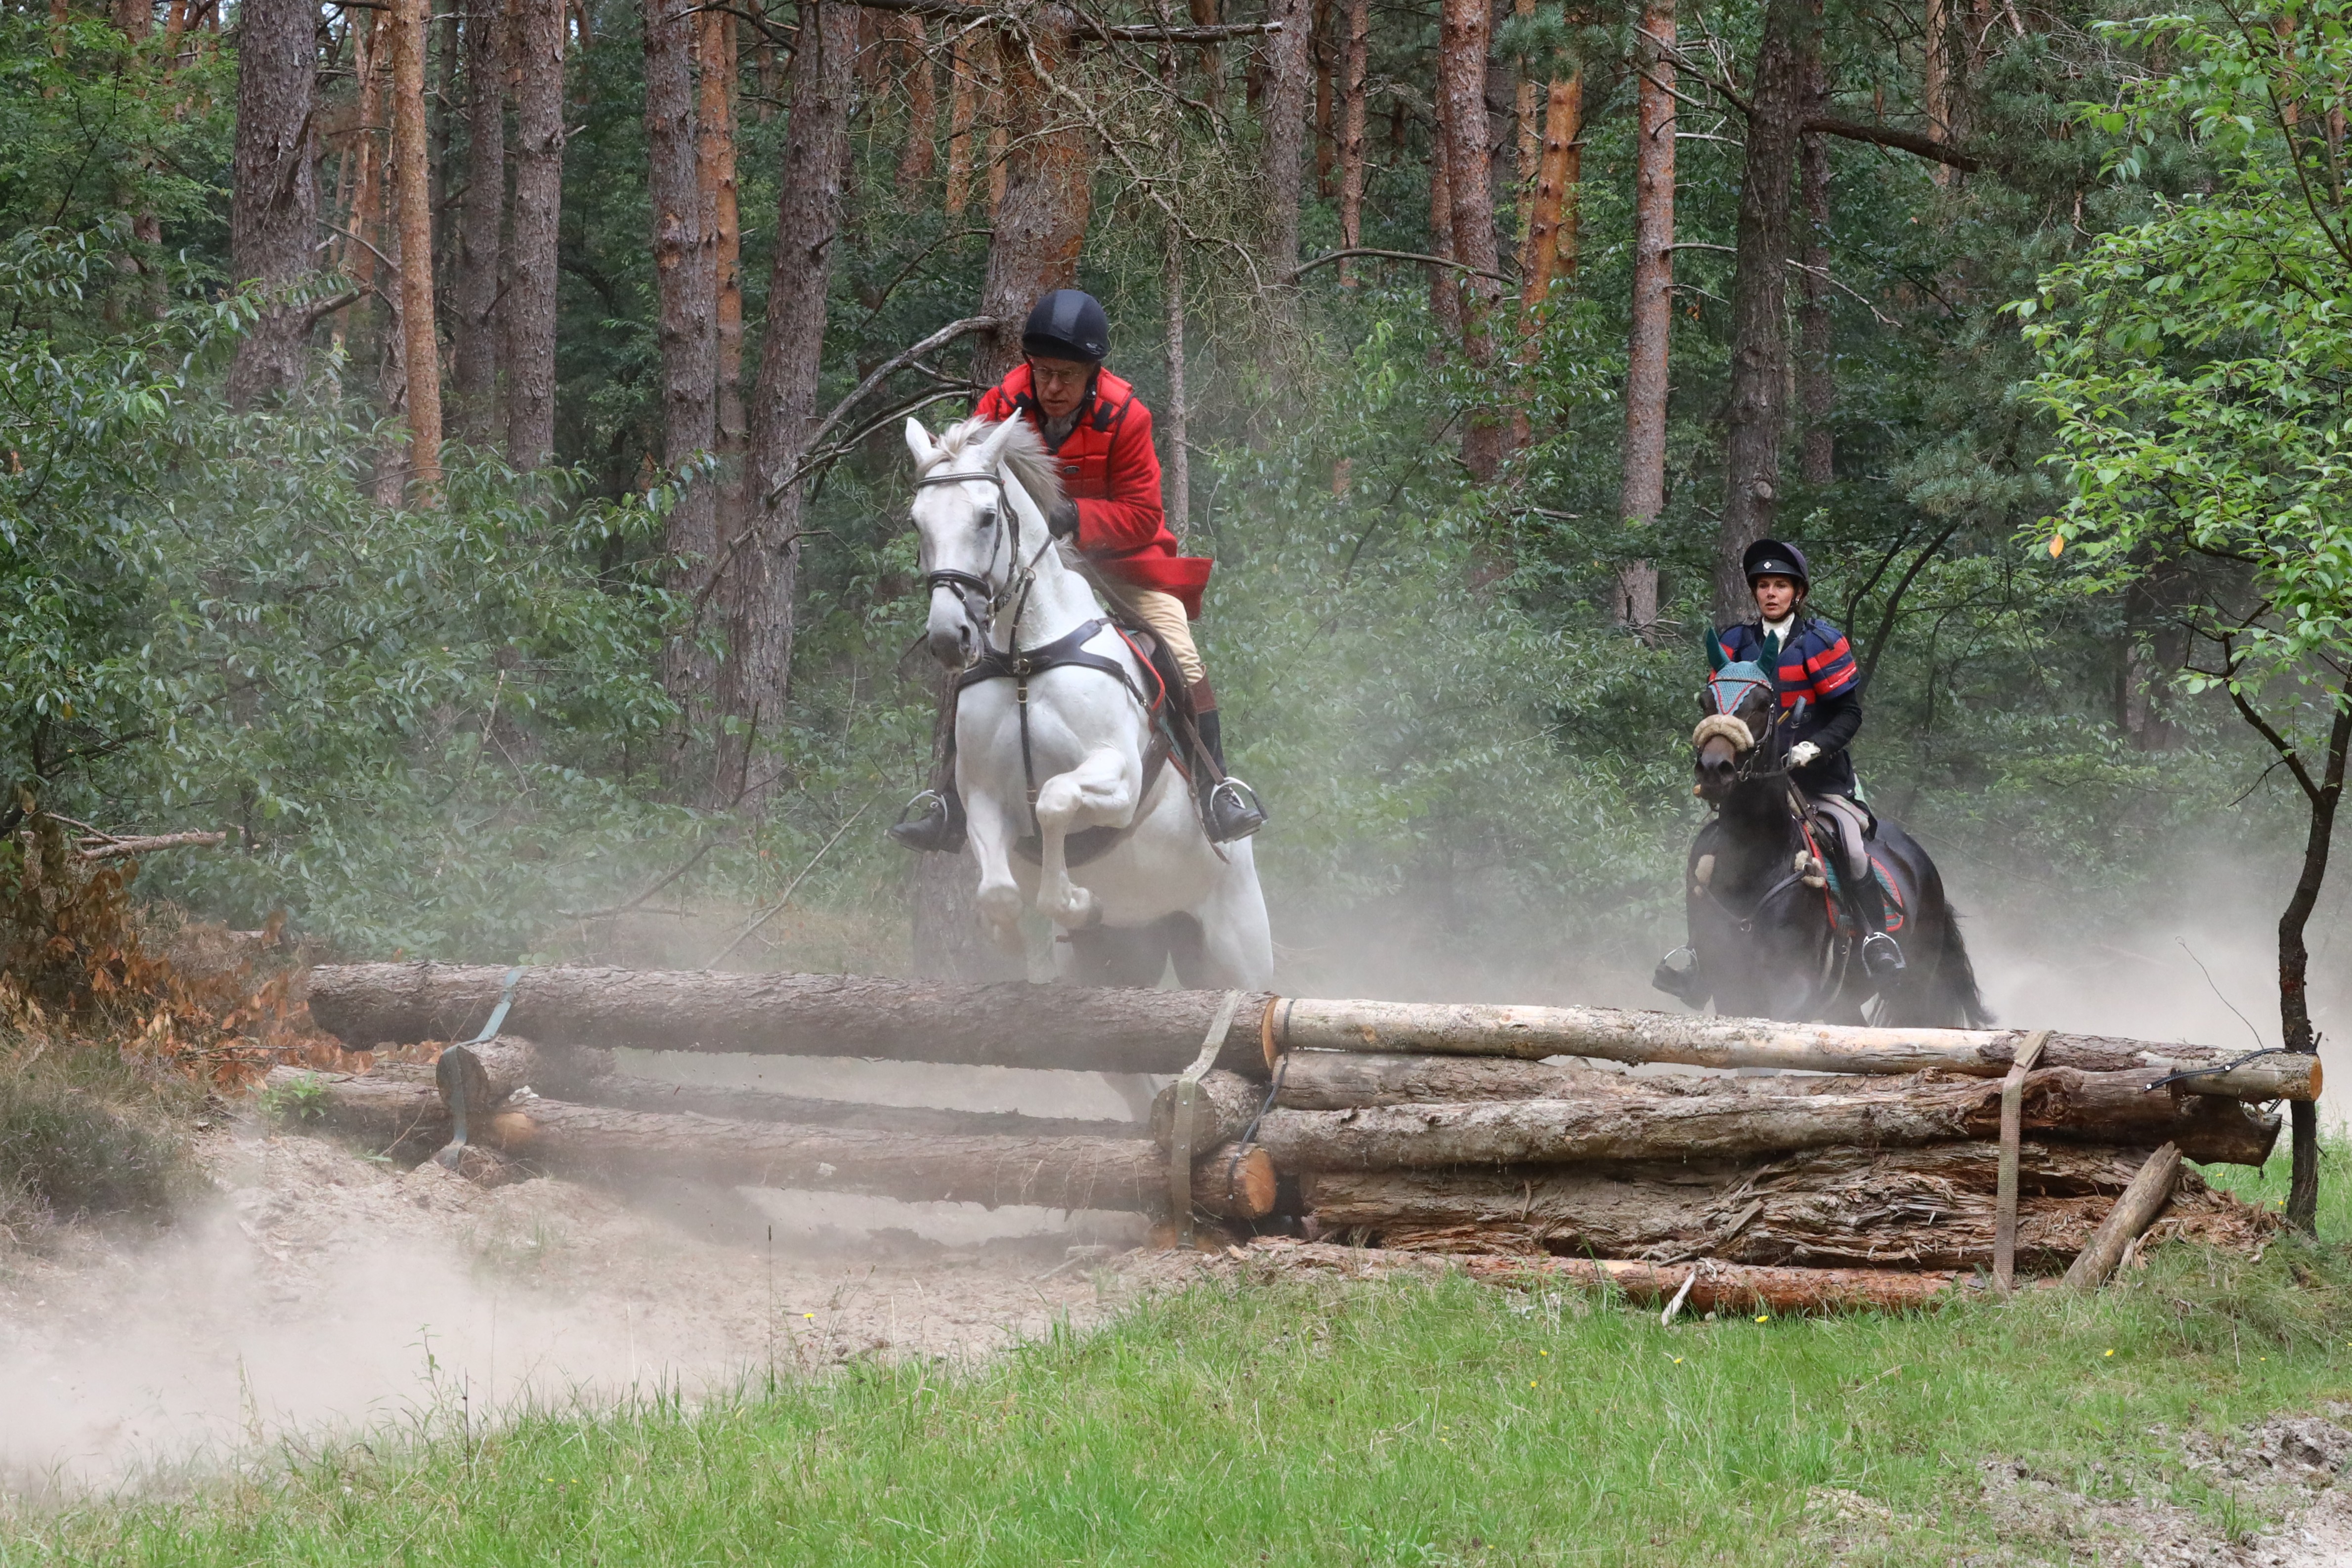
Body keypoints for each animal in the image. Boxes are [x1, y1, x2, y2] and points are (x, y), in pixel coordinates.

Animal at [1653, 645, 1989, 1027]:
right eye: (1705, 701)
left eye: (1762, 704)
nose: (1713, 770)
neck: (1755, 862)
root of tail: (1922, 862)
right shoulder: (1731, 989)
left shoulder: (1791, 990)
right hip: (1844, 1002)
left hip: (1915, 988)